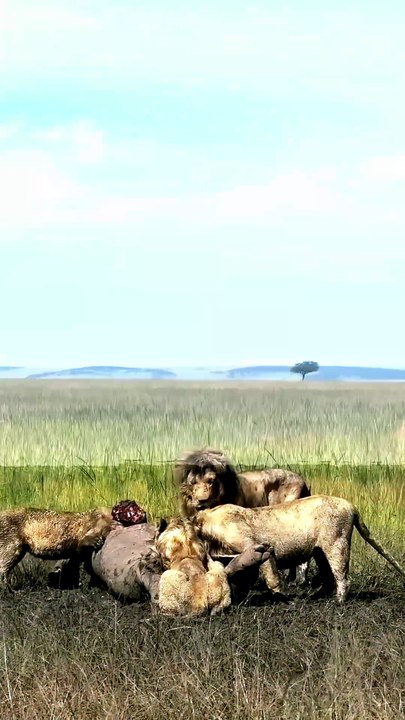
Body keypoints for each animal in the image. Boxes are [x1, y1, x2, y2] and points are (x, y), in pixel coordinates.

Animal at [192, 496, 405, 603]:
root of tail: (352, 507)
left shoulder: (253, 544)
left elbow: (270, 574)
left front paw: (282, 597)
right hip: (320, 551)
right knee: (328, 576)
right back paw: (317, 597)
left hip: (337, 542)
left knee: (342, 576)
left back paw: (338, 603)